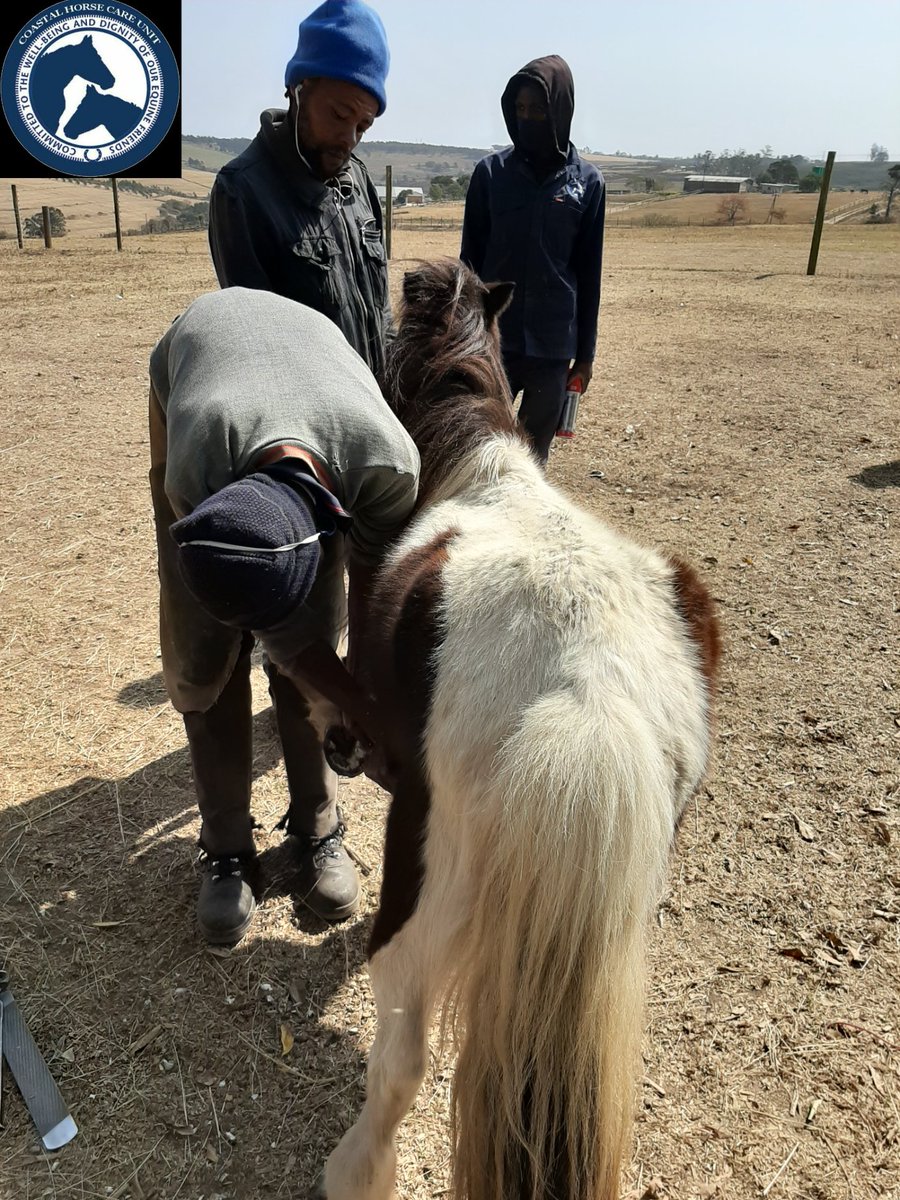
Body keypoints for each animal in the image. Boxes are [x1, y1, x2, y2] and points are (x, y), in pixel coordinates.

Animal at [323, 259, 721, 1200]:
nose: (340, 748)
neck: (482, 468)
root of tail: (587, 692)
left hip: (428, 891)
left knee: (401, 1058)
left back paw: (352, 1169)